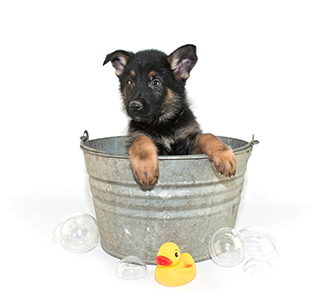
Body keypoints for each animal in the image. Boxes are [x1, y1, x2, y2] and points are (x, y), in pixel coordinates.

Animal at [102, 45, 235, 187]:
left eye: (156, 82)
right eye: (130, 82)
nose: (134, 106)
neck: (162, 122)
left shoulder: (187, 147)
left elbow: (206, 136)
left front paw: (224, 155)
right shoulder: (137, 135)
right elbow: (141, 140)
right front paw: (145, 166)